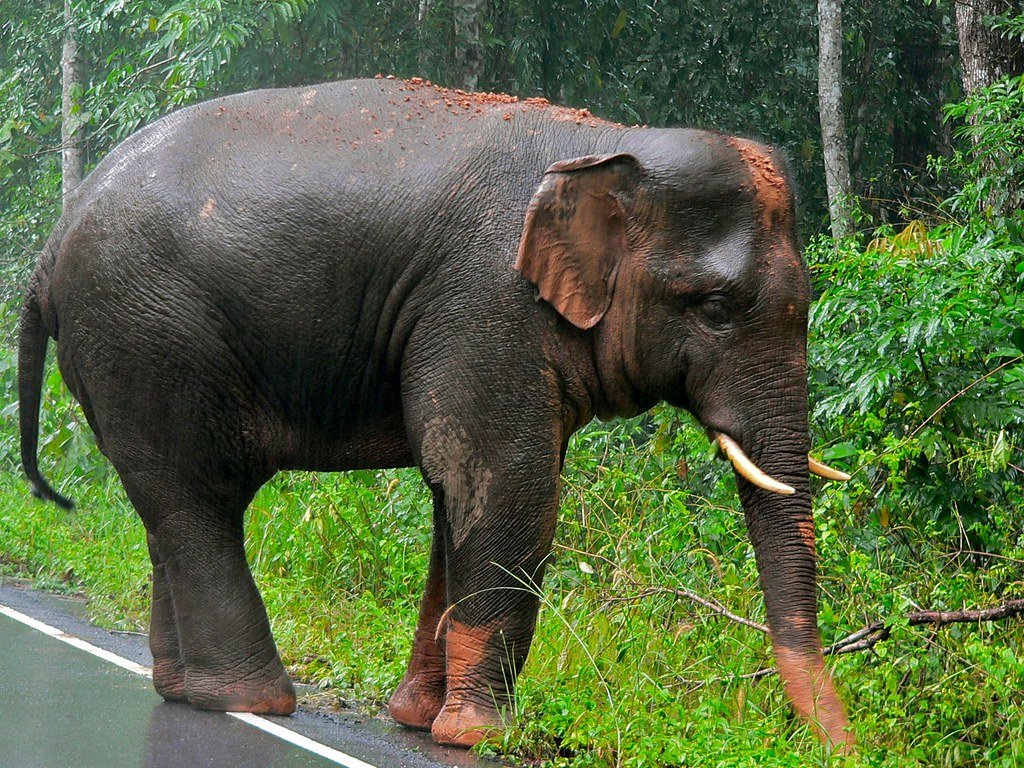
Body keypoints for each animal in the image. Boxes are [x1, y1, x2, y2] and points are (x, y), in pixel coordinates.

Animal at [19, 76, 853, 750]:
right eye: (714, 308)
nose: (843, 748)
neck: (611, 146)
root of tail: (49, 248)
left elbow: (459, 495)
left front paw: (418, 720)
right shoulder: (489, 302)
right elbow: (506, 485)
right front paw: (479, 737)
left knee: (169, 507)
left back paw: (185, 691)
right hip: (148, 334)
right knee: (198, 501)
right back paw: (251, 701)